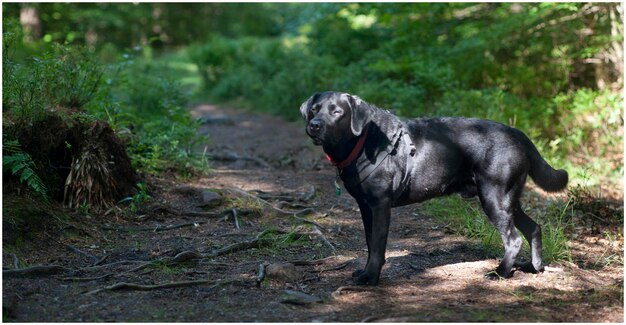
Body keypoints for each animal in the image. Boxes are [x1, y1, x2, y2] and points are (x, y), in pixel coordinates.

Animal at [300, 91, 568, 284]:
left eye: (337, 112)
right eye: (314, 110)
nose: (314, 125)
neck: (362, 141)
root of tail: (517, 132)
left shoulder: (380, 205)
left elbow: (376, 245)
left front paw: (370, 278)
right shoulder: (365, 207)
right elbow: (369, 242)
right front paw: (367, 272)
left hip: (494, 197)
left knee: (513, 239)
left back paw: (500, 273)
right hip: (509, 199)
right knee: (533, 228)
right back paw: (534, 267)